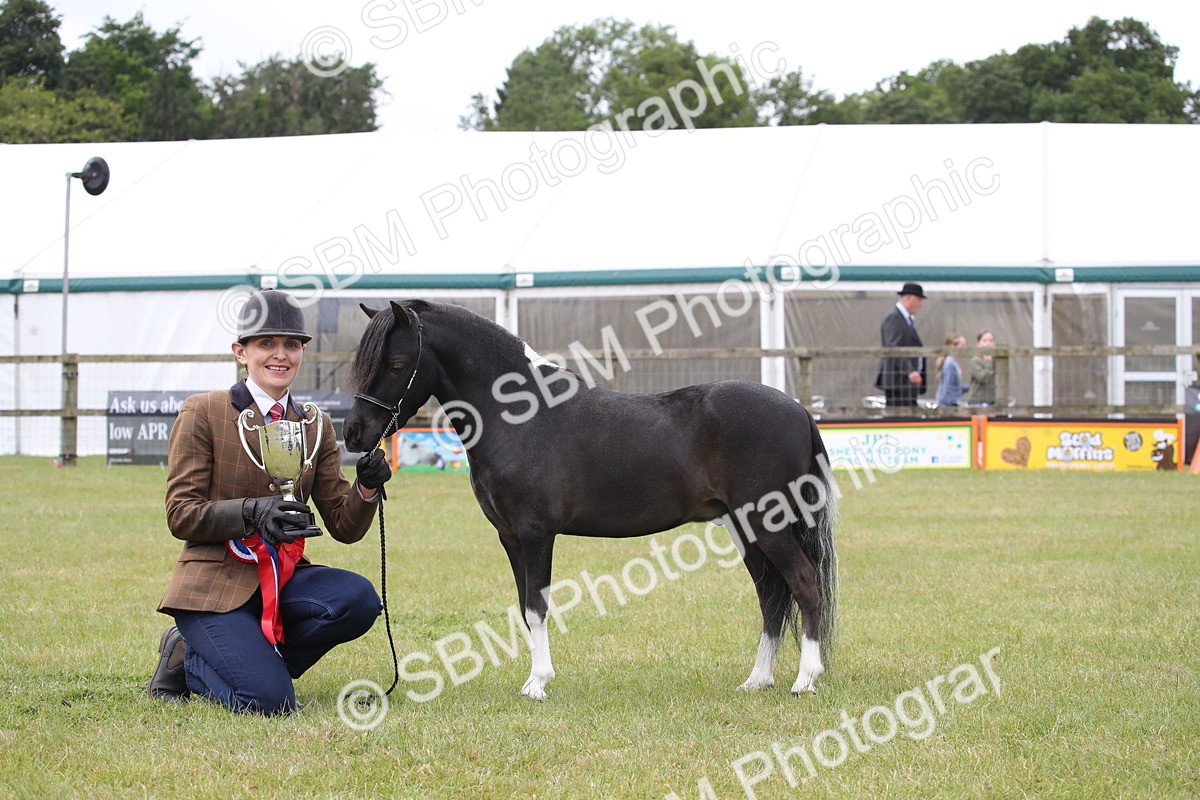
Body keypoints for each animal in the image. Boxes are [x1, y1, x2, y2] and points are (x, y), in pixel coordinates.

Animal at [342, 299, 838, 700]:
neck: (520, 415)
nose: (353, 433)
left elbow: (537, 606)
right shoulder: (510, 537)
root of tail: (798, 411)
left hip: (769, 524)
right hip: (746, 528)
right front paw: (534, 678)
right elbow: (524, 608)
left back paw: (805, 680)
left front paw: (537, 683)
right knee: (771, 595)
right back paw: (758, 680)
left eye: (396, 364)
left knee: (804, 583)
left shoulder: (536, 533)